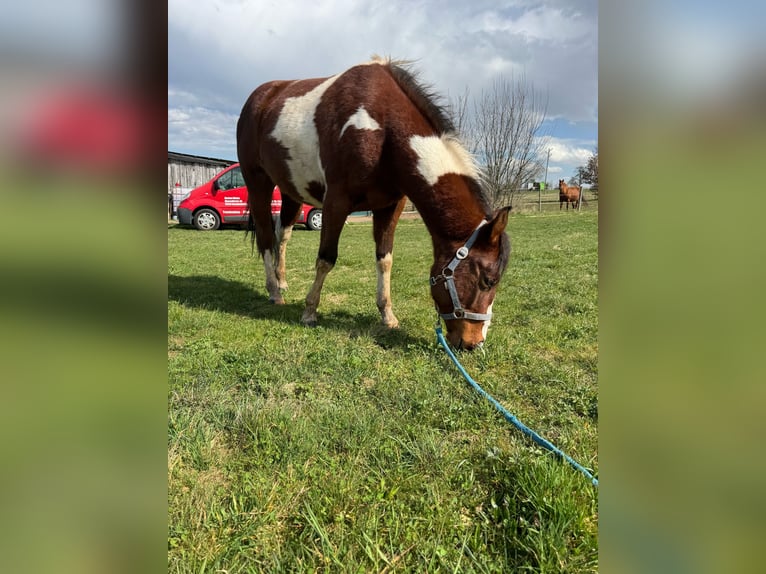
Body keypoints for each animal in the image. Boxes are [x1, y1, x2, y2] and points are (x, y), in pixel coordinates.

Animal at [236, 56, 511, 350]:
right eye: (488, 281)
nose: (474, 343)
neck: (382, 130)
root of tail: (260, 98)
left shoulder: (390, 206)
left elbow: (385, 260)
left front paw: (387, 315)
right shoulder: (335, 202)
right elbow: (326, 259)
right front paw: (310, 311)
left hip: (291, 191)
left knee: (282, 234)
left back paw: (282, 281)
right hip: (259, 184)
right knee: (266, 237)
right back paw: (274, 291)